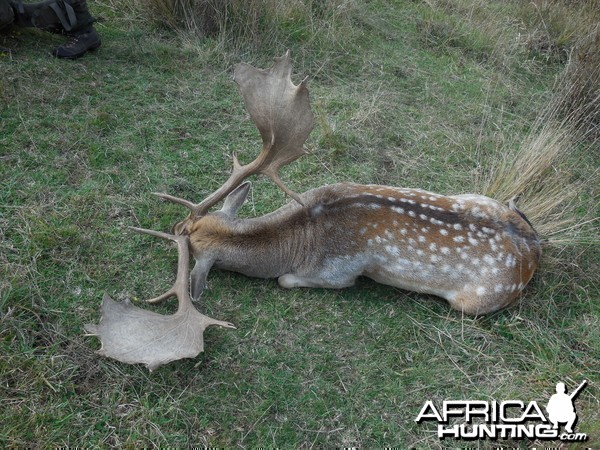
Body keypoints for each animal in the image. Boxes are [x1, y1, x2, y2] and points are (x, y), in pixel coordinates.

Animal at [85, 52, 544, 370]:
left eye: (192, 251)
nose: (177, 224)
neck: (300, 235)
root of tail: (535, 249)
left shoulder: (339, 273)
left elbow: (287, 280)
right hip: (481, 196)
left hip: (477, 301)